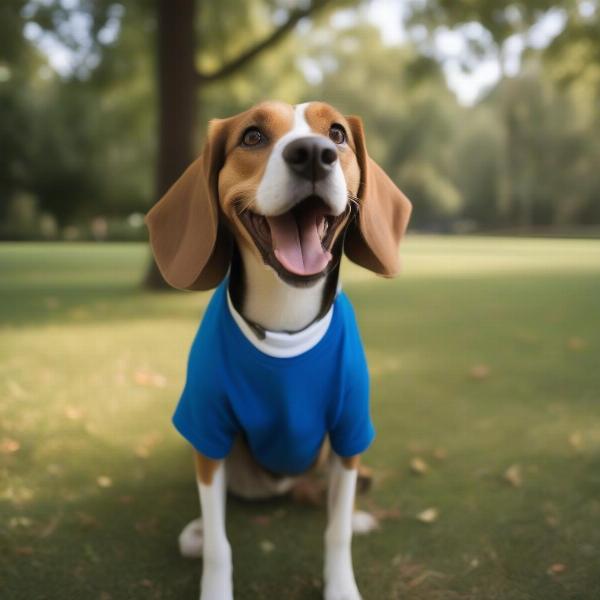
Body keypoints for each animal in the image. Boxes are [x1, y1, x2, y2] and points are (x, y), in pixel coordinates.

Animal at [144, 102, 412, 600]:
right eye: (252, 136)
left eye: (338, 134)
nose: (313, 154)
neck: (286, 318)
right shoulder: (208, 432)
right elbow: (220, 543)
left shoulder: (349, 430)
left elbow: (335, 530)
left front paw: (341, 583)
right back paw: (196, 531)